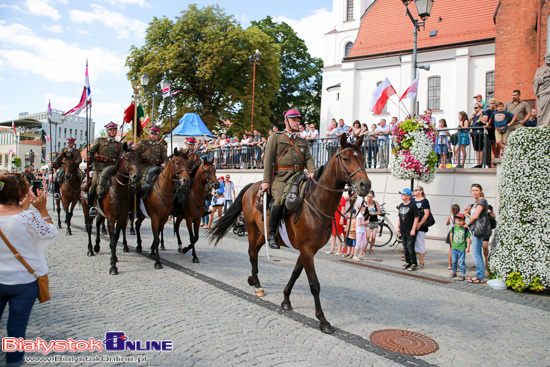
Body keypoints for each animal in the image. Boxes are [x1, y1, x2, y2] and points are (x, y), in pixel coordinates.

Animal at [83, 145, 142, 274]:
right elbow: (113, 241)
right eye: (127, 159)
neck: (118, 190)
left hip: (101, 213)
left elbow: (116, 237)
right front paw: (113, 266)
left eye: (139, 159)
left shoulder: (121, 217)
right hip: (86, 209)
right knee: (89, 227)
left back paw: (97, 246)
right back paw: (90, 249)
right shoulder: (111, 219)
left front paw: (113, 257)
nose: (137, 176)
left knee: (98, 223)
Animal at [210, 134, 370, 334]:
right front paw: (322, 320)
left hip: (263, 232)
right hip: (252, 228)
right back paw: (257, 285)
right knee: (253, 253)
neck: (316, 202)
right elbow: (314, 284)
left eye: (363, 158)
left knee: (254, 251)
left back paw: (253, 279)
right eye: (346, 158)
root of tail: (253, 186)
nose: (365, 185)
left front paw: (286, 299)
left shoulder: (308, 250)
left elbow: (295, 273)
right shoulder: (307, 250)